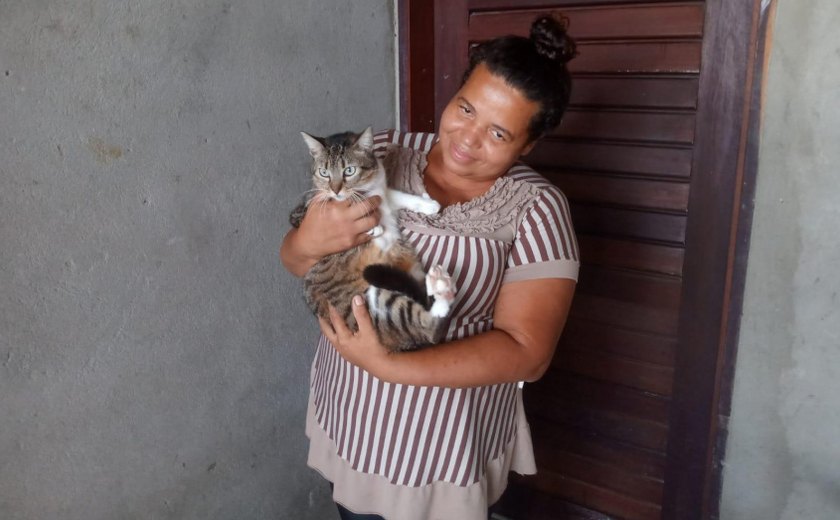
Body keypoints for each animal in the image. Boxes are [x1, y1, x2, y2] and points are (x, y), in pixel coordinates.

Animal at [290, 127, 460, 352]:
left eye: (349, 171)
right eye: (324, 173)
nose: (335, 189)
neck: (367, 188)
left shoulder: (383, 193)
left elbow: (398, 195)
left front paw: (428, 204)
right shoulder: (307, 211)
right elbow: (352, 208)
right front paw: (375, 227)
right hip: (376, 300)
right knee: (429, 327)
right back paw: (441, 285)